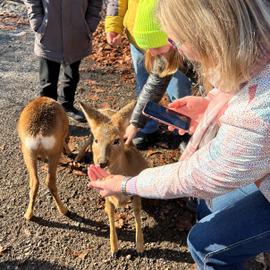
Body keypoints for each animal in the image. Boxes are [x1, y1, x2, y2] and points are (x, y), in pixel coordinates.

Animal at [79, 101, 149, 255]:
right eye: (97, 140)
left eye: (117, 141)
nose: (102, 163)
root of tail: (106, 110)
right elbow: (111, 214)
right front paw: (114, 248)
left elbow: (137, 212)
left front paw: (140, 246)